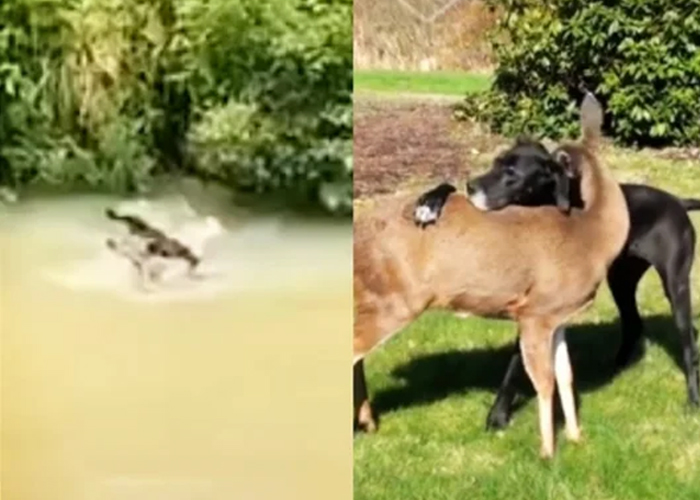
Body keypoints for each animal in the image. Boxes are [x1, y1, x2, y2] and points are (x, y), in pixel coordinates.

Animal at [410, 138, 700, 430]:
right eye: (495, 163)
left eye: (512, 173)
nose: (471, 186)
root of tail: (677, 200)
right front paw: (430, 201)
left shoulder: (538, 311)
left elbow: (516, 362)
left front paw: (499, 414)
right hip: (621, 279)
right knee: (633, 322)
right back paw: (616, 367)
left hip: (676, 286)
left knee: (687, 343)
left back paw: (692, 398)